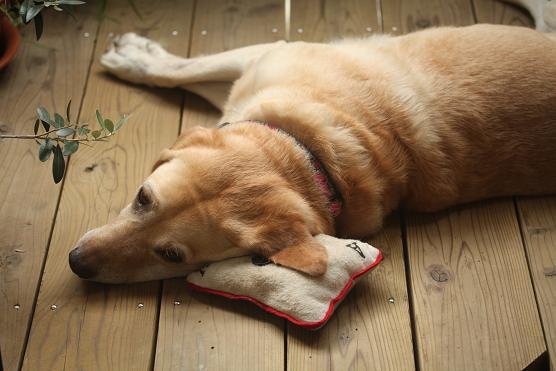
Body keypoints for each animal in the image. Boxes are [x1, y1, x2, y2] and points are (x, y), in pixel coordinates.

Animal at [68, 16, 556, 284]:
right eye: (142, 197)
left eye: (171, 256)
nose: (76, 262)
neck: (308, 151)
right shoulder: (262, 62)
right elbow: (185, 69)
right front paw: (138, 58)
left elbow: (187, 68)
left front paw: (137, 58)